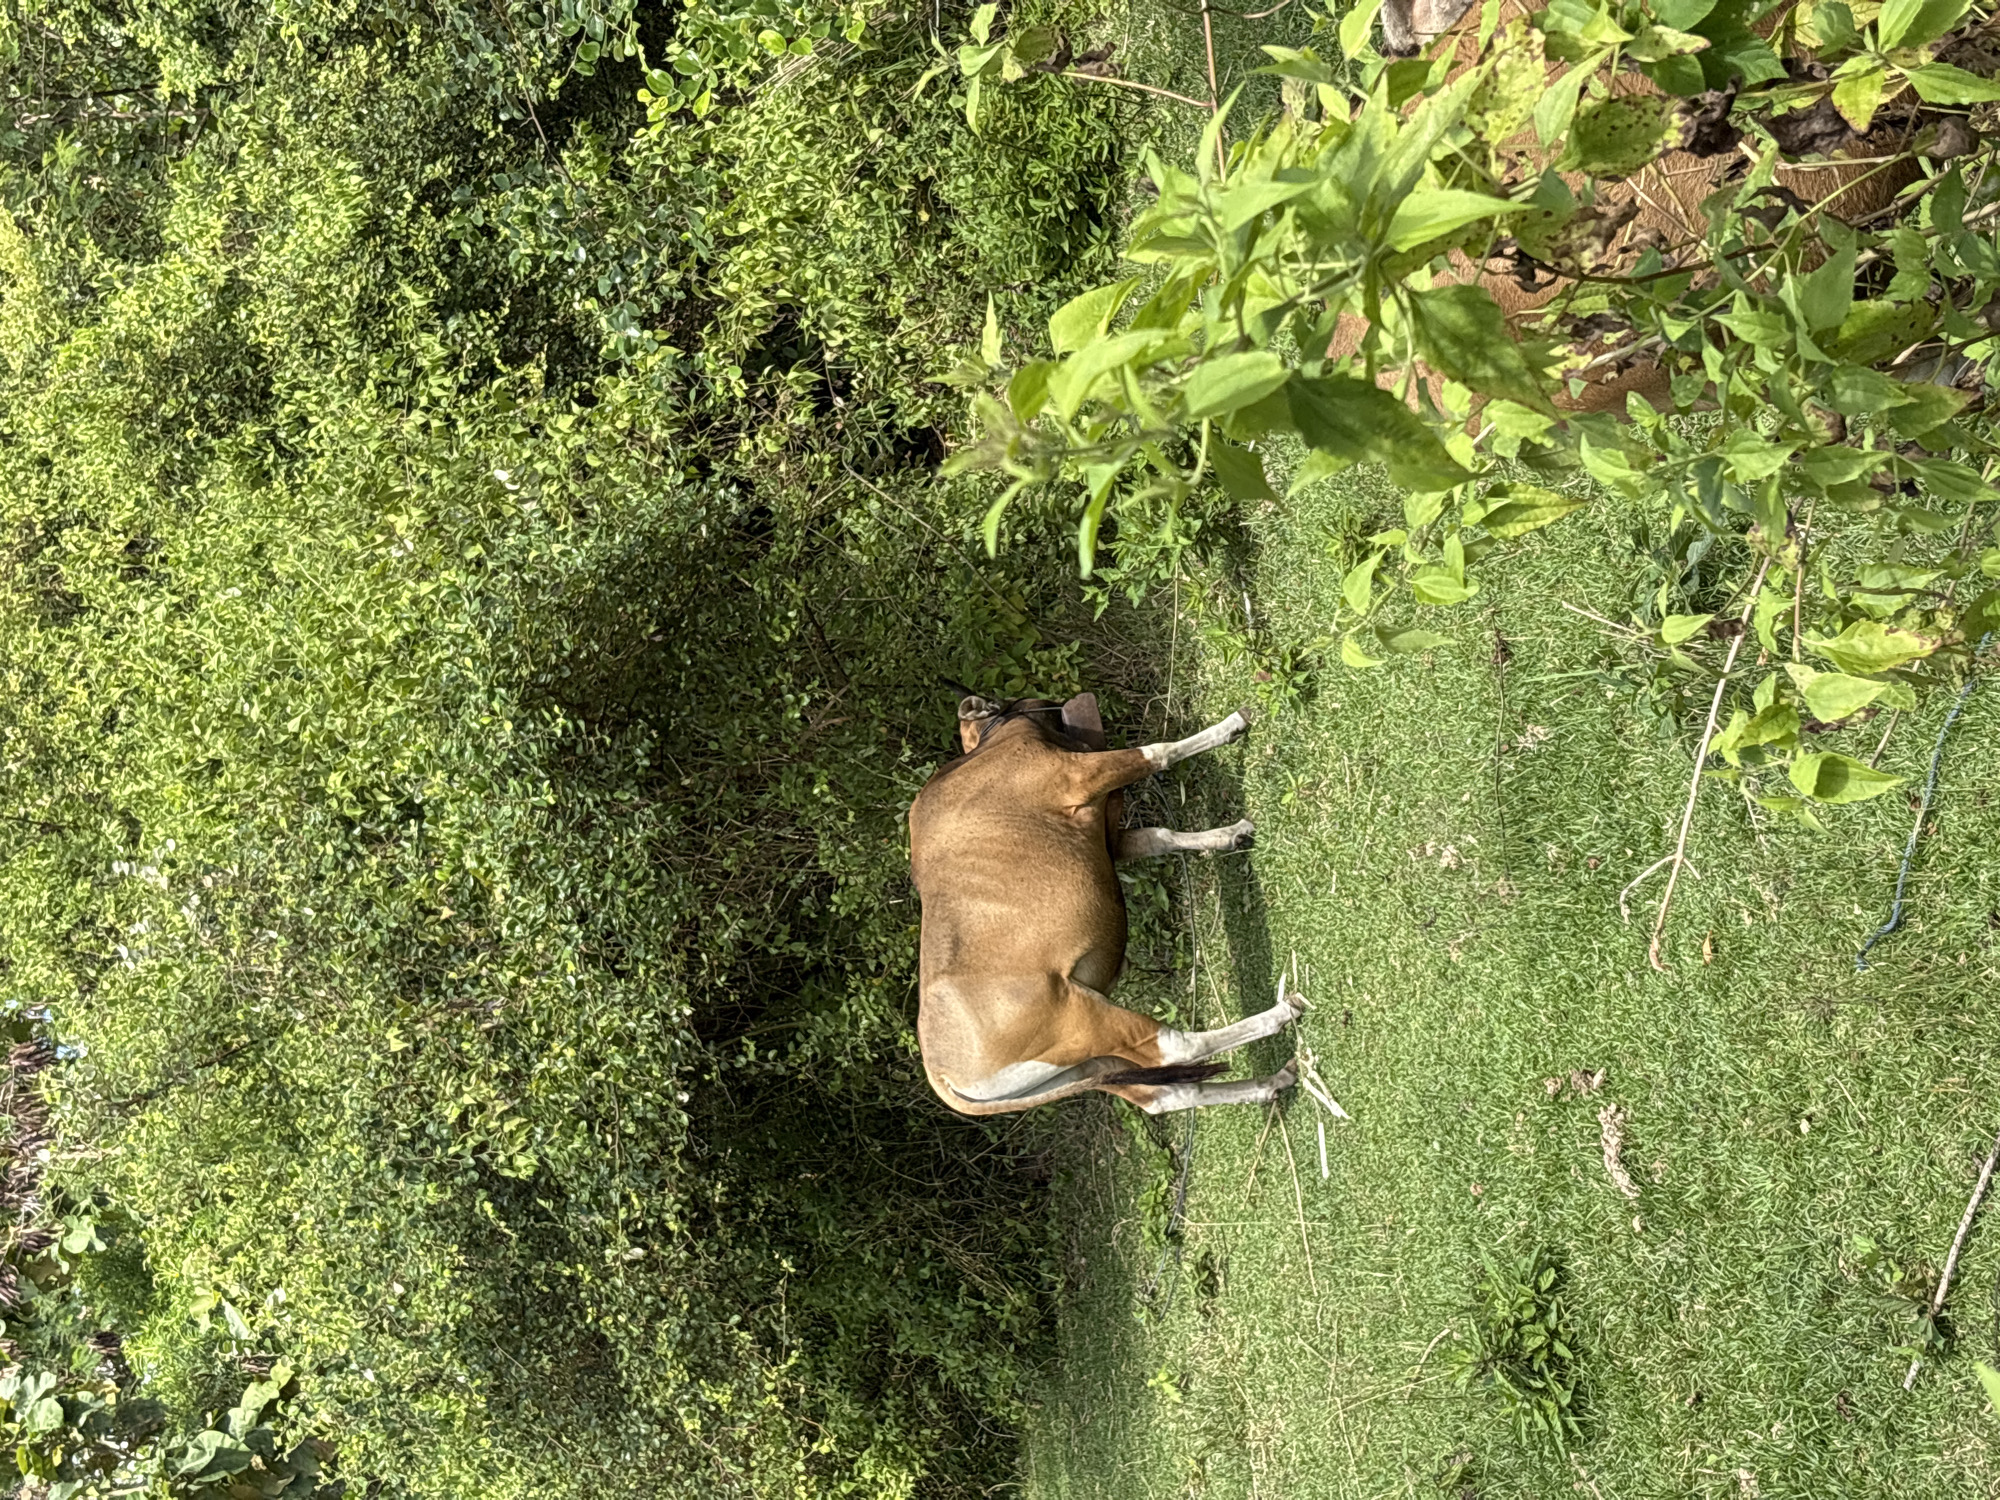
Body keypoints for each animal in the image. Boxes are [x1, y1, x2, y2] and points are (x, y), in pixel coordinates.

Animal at [907, 691, 1304, 1116]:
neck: (985, 750)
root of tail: (943, 1075)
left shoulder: (1110, 840)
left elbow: (1160, 836)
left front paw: (1229, 835)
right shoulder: (1081, 774)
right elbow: (1158, 752)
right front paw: (1232, 724)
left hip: (1090, 1065)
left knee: (1168, 1096)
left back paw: (1271, 1083)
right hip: (1089, 1020)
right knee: (1178, 1048)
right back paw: (1282, 1013)